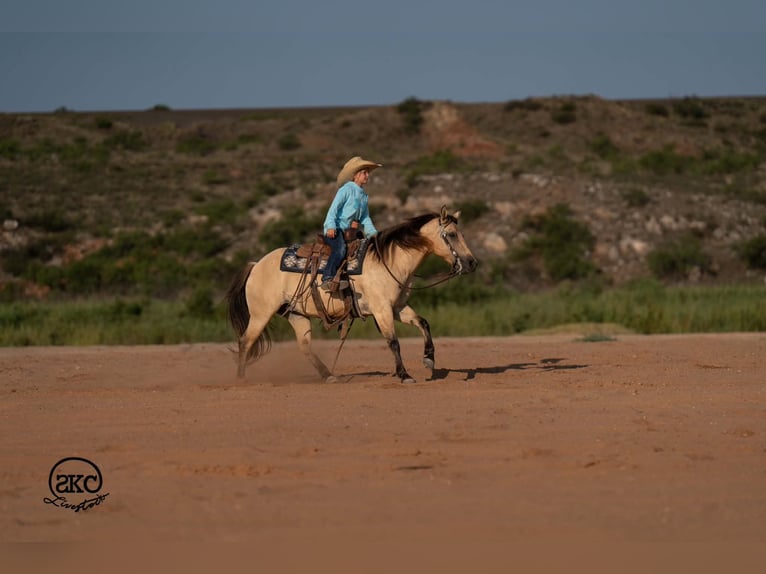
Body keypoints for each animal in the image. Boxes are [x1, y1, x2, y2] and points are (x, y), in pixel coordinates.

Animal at [225, 206, 478, 384]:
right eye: (452, 234)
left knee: (304, 346)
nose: (472, 263)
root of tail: (256, 264)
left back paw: (329, 375)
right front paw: (404, 375)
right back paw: (241, 379)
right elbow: (393, 342)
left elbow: (423, 323)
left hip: (296, 314)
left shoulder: (397, 308)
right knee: (246, 341)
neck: (390, 262)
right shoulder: (382, 310)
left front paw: (429, 359)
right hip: (261, 314)